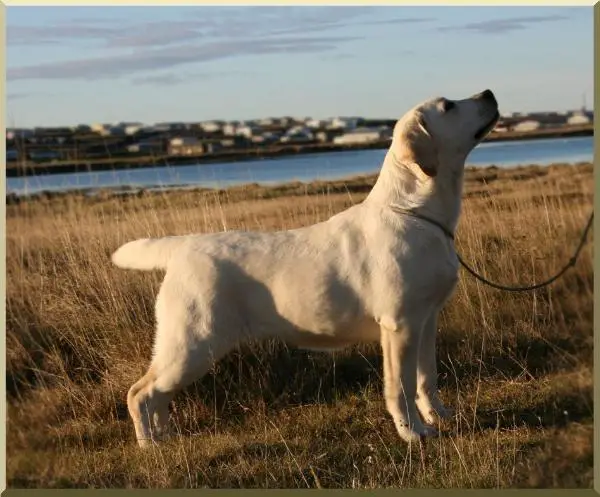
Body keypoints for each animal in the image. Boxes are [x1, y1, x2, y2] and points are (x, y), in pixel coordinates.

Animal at [113, 88, 502, 446]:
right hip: (193, 342)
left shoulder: (426, 320)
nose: (489, 93)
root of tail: (182, 246)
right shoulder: (400, 325)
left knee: (156, 396)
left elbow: (426, 378)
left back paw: (165, 436)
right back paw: (150, 445)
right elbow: (401, 387)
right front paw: (413, 433)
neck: (415, 211)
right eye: (448, 105)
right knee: (140, 393)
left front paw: (439, 416)